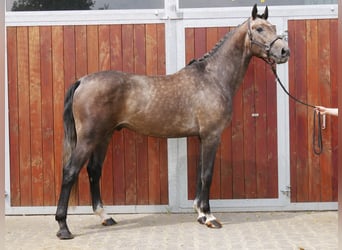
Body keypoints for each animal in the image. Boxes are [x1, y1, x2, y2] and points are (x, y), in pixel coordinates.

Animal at [55, 3, 288, 238]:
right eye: (259, 28)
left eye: (273, 27)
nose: (284, 51)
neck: (213, 78)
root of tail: (82, 81)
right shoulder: (212, 136)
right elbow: (207, 175)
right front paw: (210, 217)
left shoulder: (202, 137)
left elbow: (199, 173)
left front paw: (200, 214)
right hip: (89, 138)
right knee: (70, 172)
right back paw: (63, 227)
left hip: (103, 136)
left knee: (94, 171)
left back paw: (105, 217)